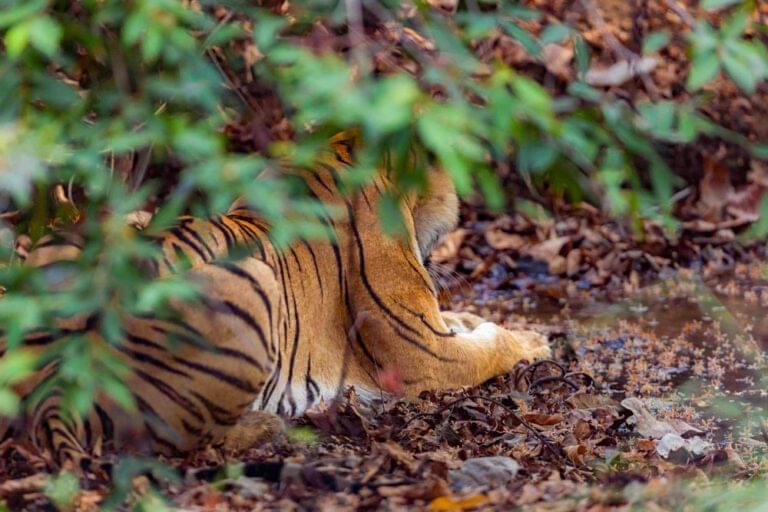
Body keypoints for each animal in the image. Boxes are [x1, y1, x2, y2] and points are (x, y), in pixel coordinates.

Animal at [0, 132, 550, 471]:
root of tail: (55, 390)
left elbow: (468, 321)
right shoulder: (419, 352)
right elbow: (489, 347)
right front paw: (534, 340)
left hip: (67, 245)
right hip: (249, 282)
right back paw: (272, 426)